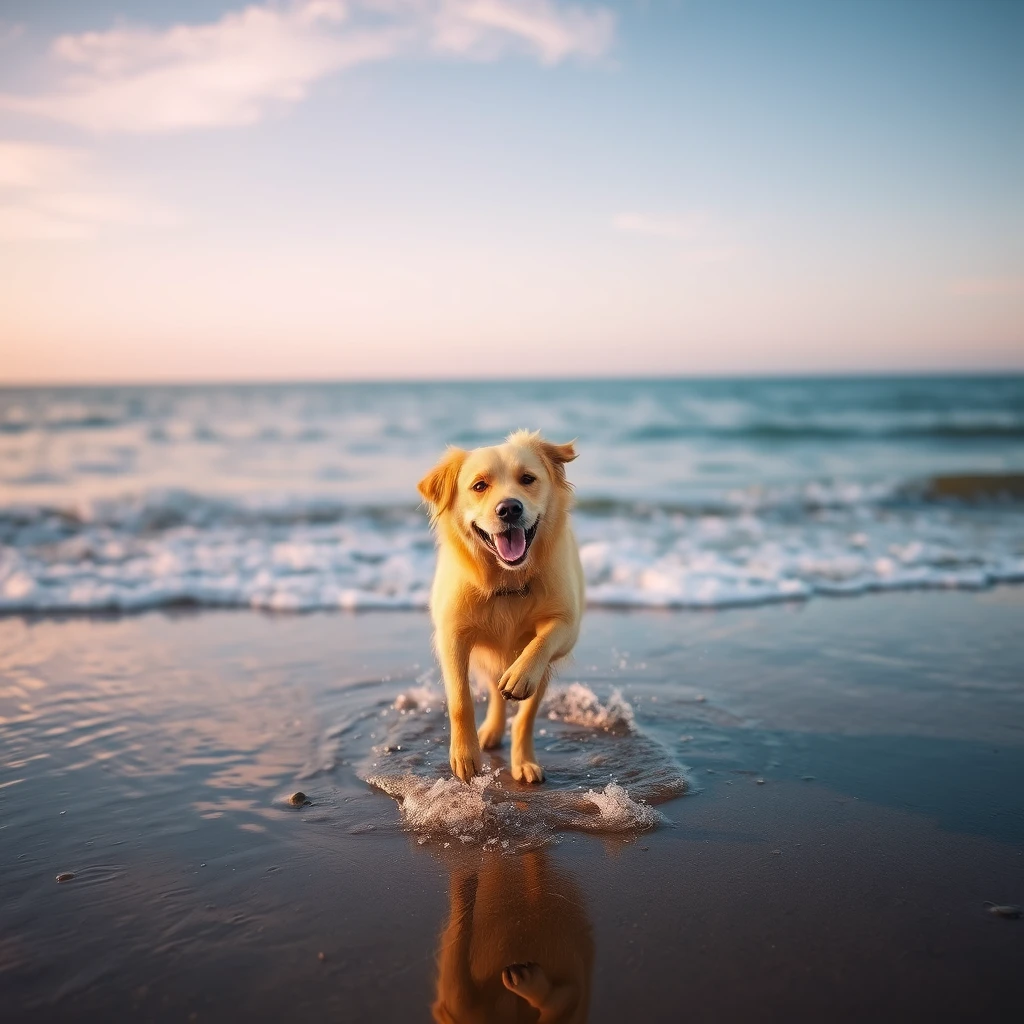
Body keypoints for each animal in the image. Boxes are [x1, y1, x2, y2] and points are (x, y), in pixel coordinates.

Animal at [417, 428, 585, 778]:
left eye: (527, 479)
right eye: (480, 486)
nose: (509, 509)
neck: (506, 582)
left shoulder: (566, 625)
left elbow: (541, 647)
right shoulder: (452, 635)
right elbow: (460, 700)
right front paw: (465, 755)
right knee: (494, 691)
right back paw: (490, 732)